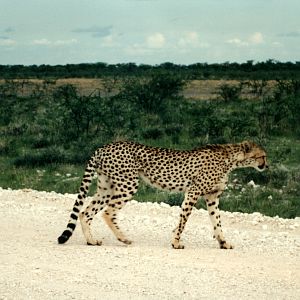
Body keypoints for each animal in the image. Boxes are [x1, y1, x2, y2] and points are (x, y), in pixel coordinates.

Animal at [57, 141, 268, 248]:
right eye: (262, 156)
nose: (266, 165)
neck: (230, 159)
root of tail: (105, 146)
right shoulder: (193, 192)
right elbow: (183, 220)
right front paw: (176, 242)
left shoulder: (212, 197)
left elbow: (217, 222)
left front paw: (224, 242)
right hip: (128, 184)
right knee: (108, 213)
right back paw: (123, 238)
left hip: (106, 188)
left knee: (85, 212)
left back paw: (91, 240)